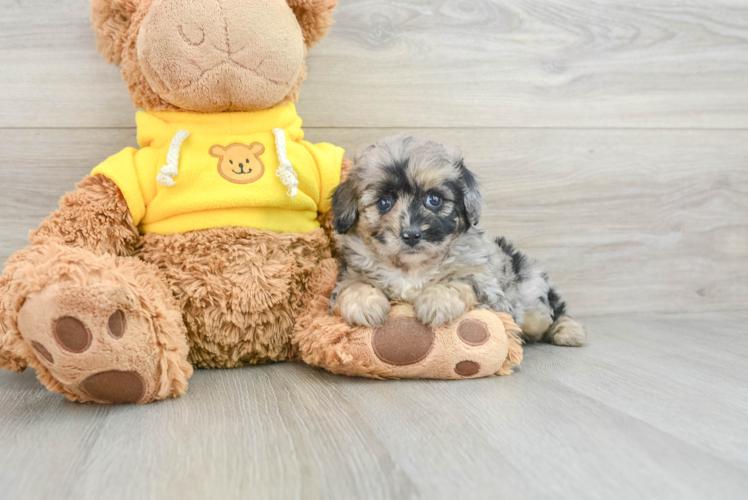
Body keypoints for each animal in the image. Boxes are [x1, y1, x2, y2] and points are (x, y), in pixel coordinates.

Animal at [330, 135, 588, 346]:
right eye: (384, 203)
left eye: (434, 199)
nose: (411, 234)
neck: (411, 269)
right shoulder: (347, 275)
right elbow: (352, 285)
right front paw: (365, 304)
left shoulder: (490, 292)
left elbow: (459, 281)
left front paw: (436, 301)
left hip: (532, 301)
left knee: (552, 312)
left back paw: (569, 330)